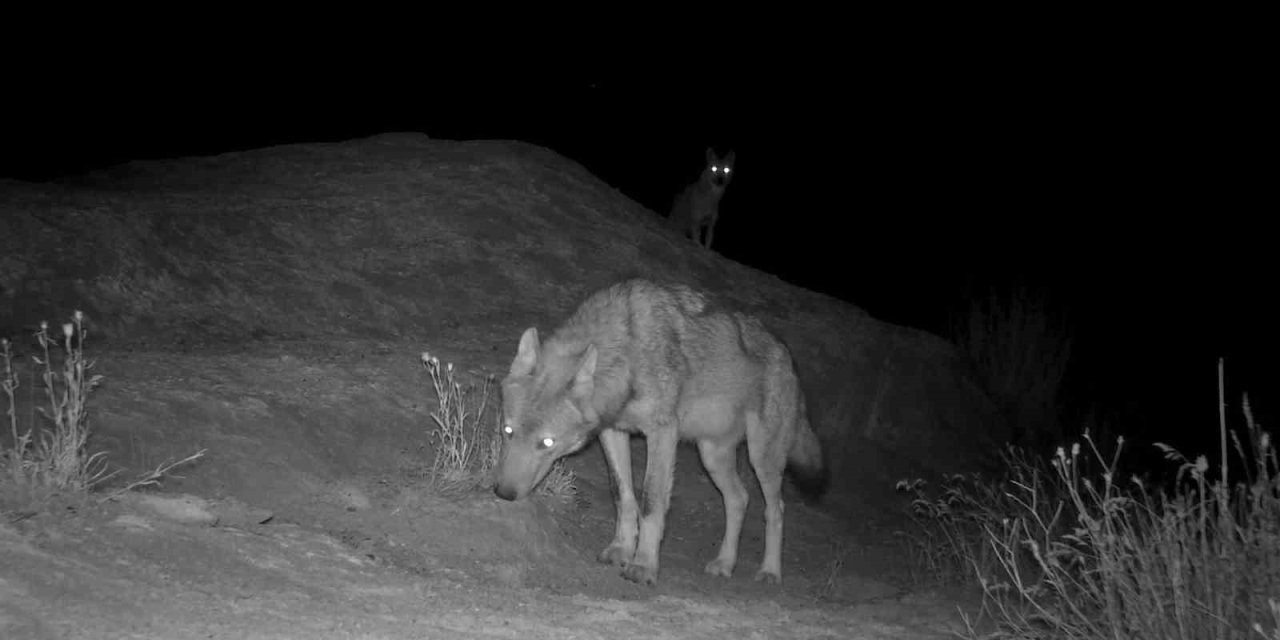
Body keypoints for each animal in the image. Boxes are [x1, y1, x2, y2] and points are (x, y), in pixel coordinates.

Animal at [488, 277, 829, 586]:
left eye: (547, 442)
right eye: (507, 430)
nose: (504, 493)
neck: (628, 351)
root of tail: (787, 355)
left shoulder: (663, 432)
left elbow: (651, 501)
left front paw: (643, 565)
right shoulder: (612, 432)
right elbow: (623, 495)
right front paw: (621, 549)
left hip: (761, 459)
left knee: (776, 509)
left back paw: (770, 571)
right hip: (712, 456)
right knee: (739, 499)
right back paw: (725, 563)